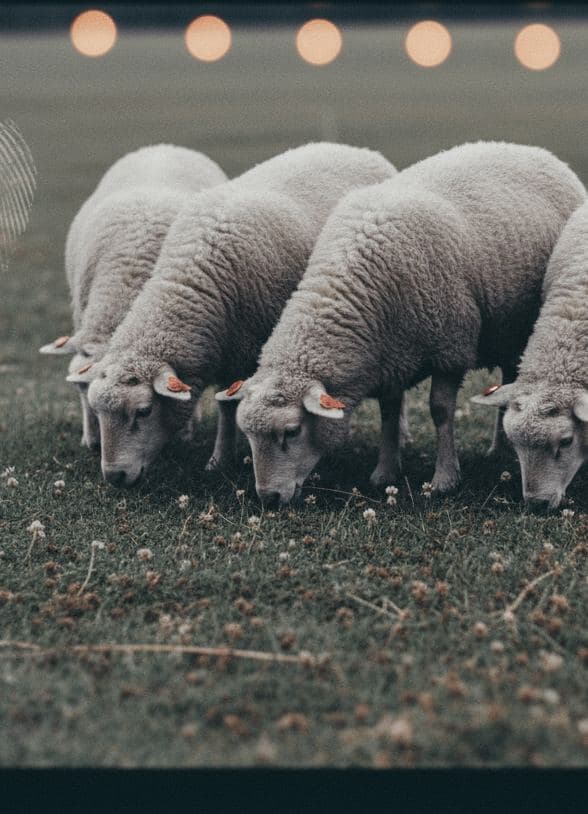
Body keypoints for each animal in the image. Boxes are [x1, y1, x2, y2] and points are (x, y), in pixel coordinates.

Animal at [78, 142, 397, 487]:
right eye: (98, 410)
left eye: (143, 411)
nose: (115, 476)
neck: (195, 281)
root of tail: (352, 148)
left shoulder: (242, 351)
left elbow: (227, 408)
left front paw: (219, 459)